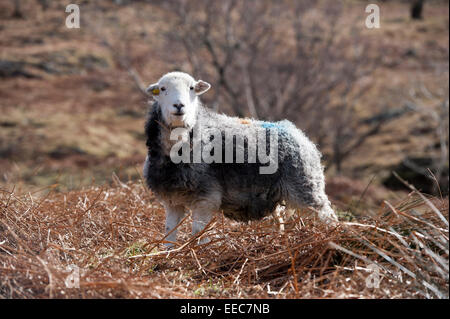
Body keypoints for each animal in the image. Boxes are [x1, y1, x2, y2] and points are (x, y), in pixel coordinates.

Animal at [144, 71, 338, 249]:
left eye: (192, 88)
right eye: (163, 89)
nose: (179, 105)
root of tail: (295, 131)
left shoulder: (206, 197)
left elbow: (199, 234)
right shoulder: (172, 200)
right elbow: (169, 234)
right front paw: (169, 254)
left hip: (306, 185)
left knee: (328, 216)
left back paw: (334, 237)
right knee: (280, 221)